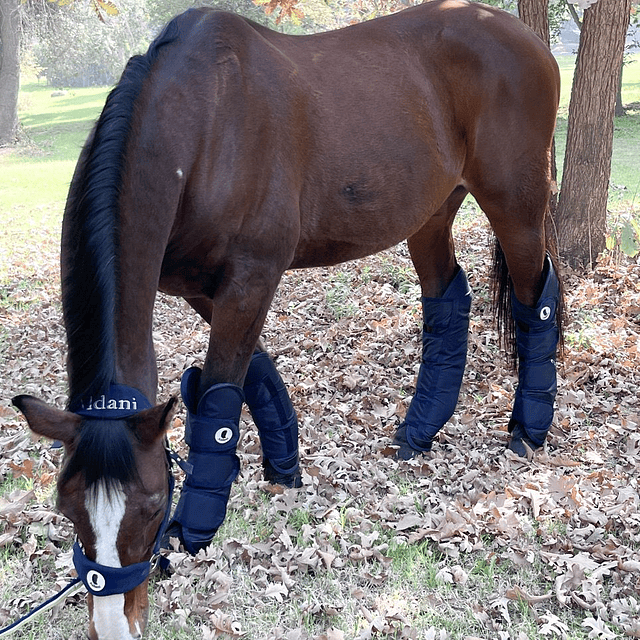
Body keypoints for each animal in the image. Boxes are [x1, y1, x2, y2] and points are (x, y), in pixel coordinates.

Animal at [10, 2, 560, 636]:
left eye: (151, 506)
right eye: (66, 507)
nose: (114, 623)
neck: (204, 123)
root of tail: (526, 39)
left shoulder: (252, 277)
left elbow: (220, 395)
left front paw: (199, 525)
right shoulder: (204, 287)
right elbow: (248, 375)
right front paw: (283, 466)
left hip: (516, 206)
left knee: (536, 302)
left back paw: (528, 431)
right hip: (431, 211)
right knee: (447, 301)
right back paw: (419, 432)